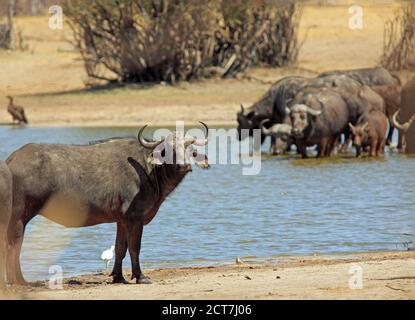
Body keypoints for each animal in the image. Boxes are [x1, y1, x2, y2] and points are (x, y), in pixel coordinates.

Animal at [6, 122, 213, 284]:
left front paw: (118, 277)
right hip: (19, 217)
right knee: (13, 246)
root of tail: (10, 161)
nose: (184, 166)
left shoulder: (121, 220)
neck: (148, 170)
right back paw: (19, 281)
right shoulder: (135, 217)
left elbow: (120, 248)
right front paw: (140, 276)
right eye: (168, 150)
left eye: (189, 148)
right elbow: (135, 247)